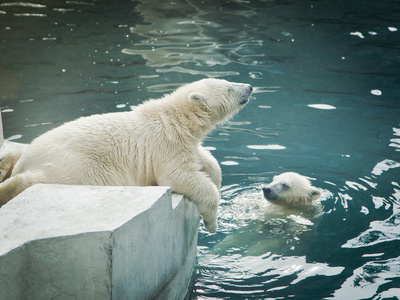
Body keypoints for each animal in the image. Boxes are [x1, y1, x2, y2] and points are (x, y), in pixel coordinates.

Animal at [0, 78, 253, 232]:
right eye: (229, 87)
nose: (250, 87)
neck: (174, 117)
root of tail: (25, 162)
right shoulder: (164, 144)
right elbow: (178, 176)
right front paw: (211, 221)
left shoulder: (181, 142)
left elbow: (204, 159)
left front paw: (215, 178)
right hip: (77, 166)